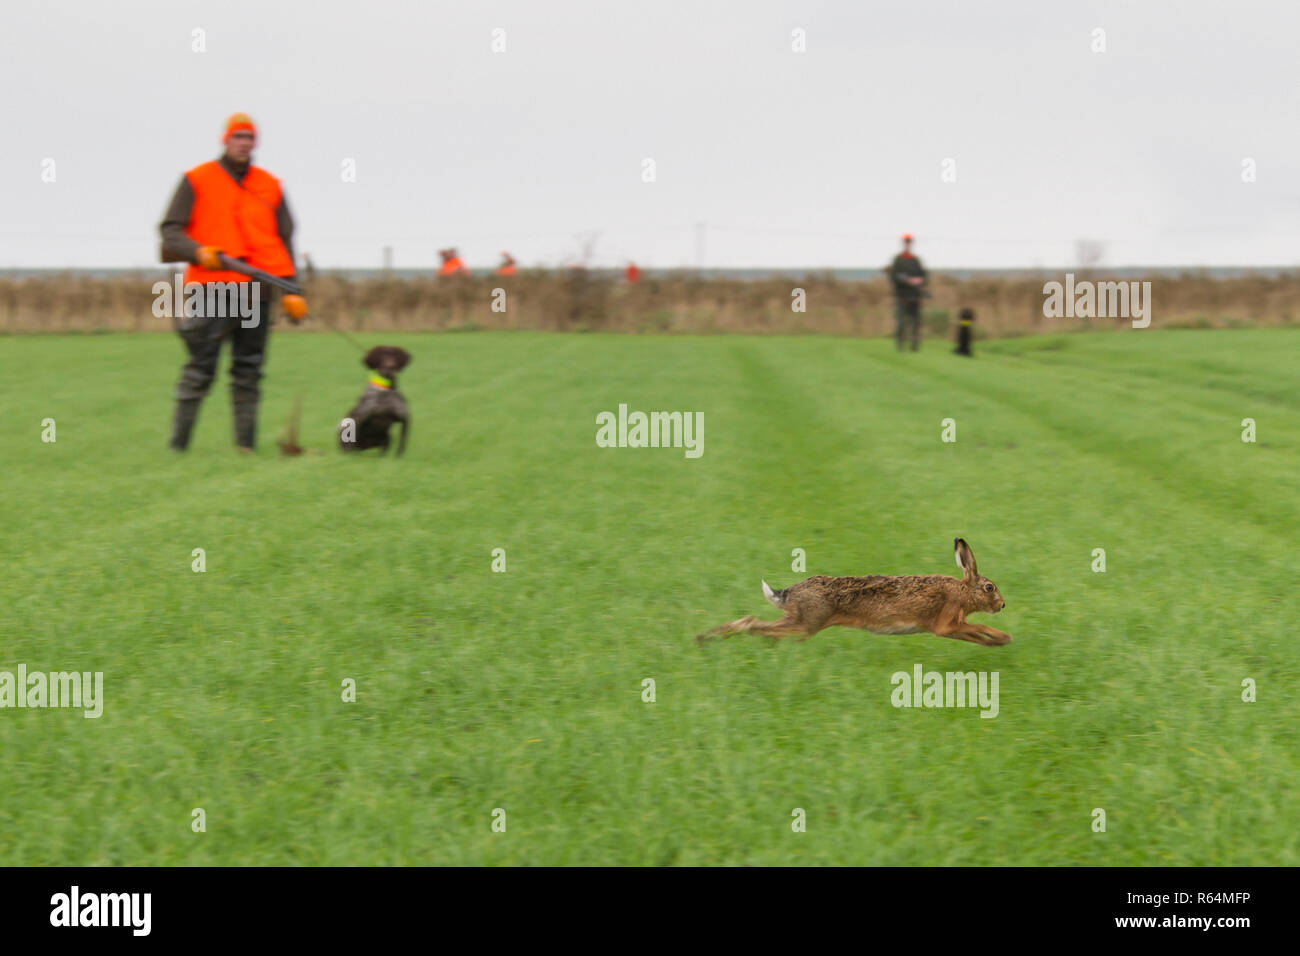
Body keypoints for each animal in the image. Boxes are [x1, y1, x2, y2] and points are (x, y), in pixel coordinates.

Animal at [698, 538, 1010, 647]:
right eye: (989, 587)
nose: (1003, 605)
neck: (962, 591)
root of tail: (789, 592)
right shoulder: (946, 623)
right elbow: (977, 627)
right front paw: (1003, 637)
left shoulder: (952, 626)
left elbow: (974, 634)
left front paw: (997, 642)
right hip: (806, 624)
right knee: (755, 625)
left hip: (798, 621)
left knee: (754, 622)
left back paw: (707, 639)